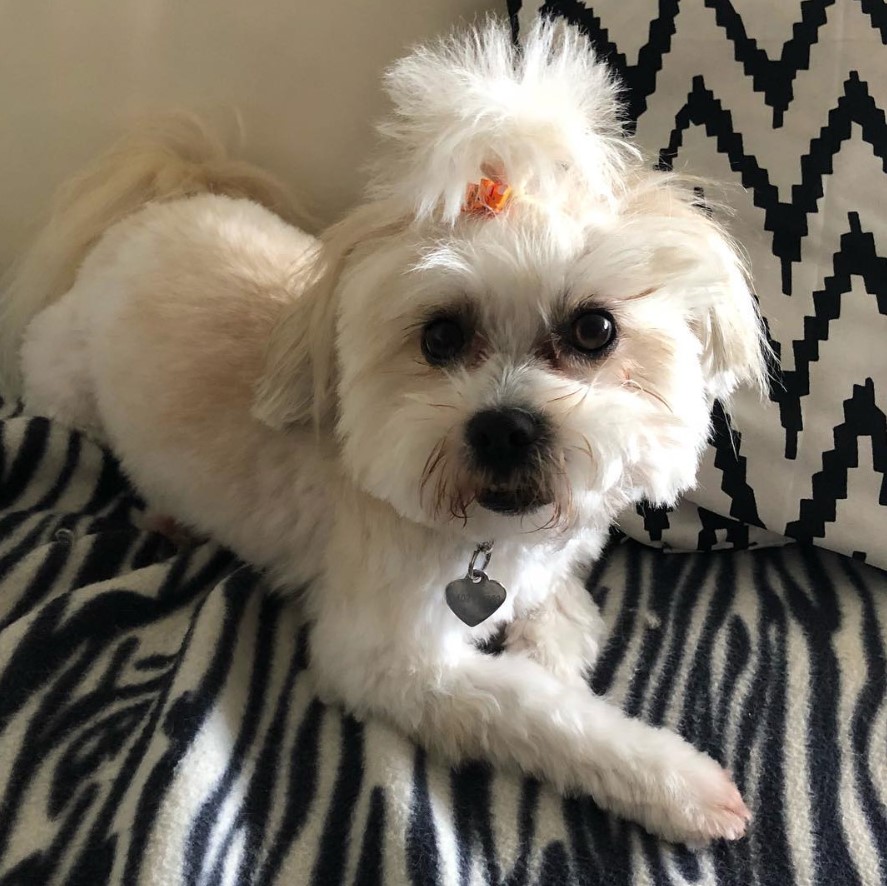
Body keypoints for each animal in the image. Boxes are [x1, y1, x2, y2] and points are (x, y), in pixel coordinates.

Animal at [0, 20, 764, 848]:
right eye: (439, 336)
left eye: (594, 329)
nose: (504, 427)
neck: (486, 537)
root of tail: (167, 198)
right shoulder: (387, 660)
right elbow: (534, 711)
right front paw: (675, 782)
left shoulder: (550, 572)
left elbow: (559, 635)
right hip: (66, 384)